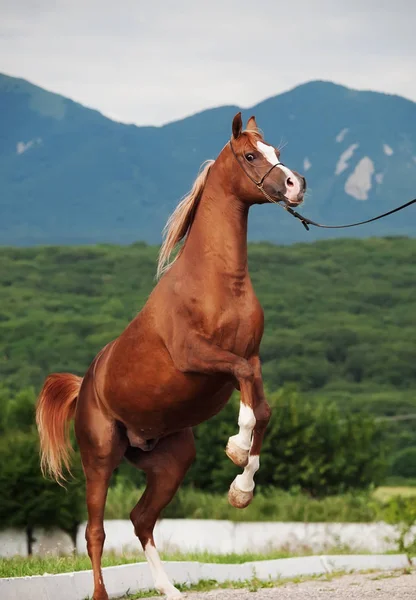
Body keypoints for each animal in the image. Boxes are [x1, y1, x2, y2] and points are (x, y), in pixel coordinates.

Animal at [35, 113, 306, 600]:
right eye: (251, 155)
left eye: (275, 150)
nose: (297, 185)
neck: (218, 282)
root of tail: (85, 387)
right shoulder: (198, 358)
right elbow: (246, 392)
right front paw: (237, 448)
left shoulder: (251, 359)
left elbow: (263, 408)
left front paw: (241, 486)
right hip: (99, 458)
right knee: (96, 531)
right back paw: (102, 593)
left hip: (169, 462)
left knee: (141, 519)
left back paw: (169, 589)